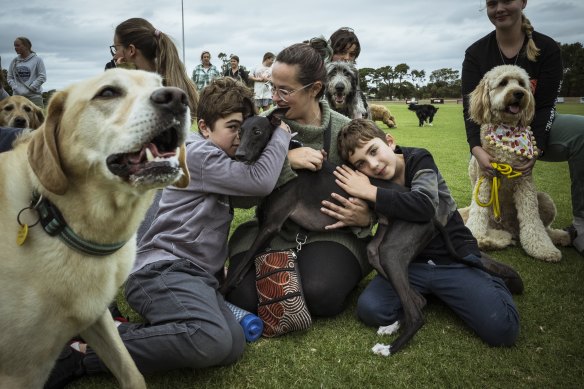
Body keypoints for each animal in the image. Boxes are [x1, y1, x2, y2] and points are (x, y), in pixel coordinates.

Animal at [0, 68, 190, 386]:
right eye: (108, 92)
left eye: (160, 83)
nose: (178, 97)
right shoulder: (18, 373)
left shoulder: (97, 315)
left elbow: (131, 372)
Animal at [464, 65, 568, 262]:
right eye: (503, 83)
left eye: (521, 83)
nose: (519, 93)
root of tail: (510, 229)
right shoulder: (485, 178)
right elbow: (478, 213)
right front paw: (476, 236)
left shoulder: (524, 181)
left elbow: (532, 218)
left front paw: (542, 248)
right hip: (496, 222)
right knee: (499, 233)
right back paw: (488, 241)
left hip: (546, 200)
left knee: (544, 227)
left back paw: (559, 236)